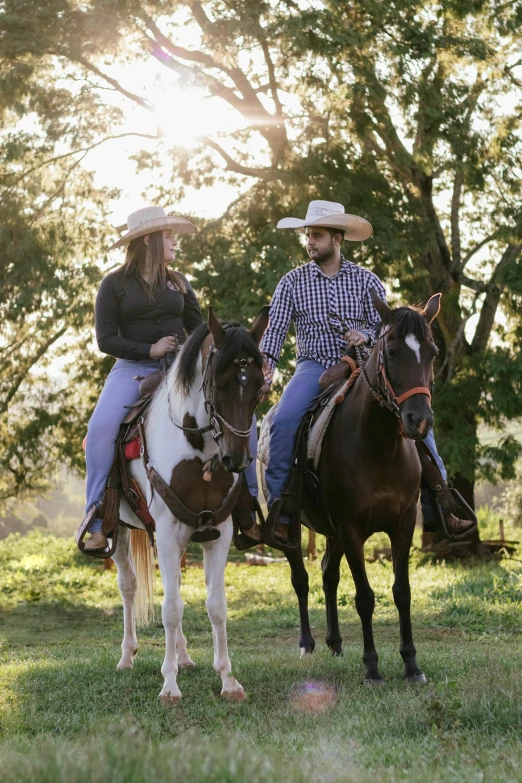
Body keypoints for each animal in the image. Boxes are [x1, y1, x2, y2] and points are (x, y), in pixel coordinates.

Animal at [114, 308, 268, 704]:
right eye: (218, 384)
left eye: (259, 384)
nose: (236, 458)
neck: (199, 452)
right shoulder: (167, 532)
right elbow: (170, 608)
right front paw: (169, 686)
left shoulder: (218, 532)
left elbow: (215, 606)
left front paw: (228, 680)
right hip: (118, 530)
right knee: (129, 586)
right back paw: (127, 657)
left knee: (176, 585)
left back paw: (183, 657)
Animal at [284, 294, 438, 688]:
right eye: (393, 351)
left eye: (431, 352)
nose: (420, 421)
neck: (378, 447)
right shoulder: (351, 528)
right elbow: (365, 597)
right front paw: (372, 667)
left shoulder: (402, 525)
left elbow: (402, 592)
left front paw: (411, 664)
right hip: (292, 528)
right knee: (301, 579)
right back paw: (307, 643)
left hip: (333, 533)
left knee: (328, 574)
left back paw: (335, 642)